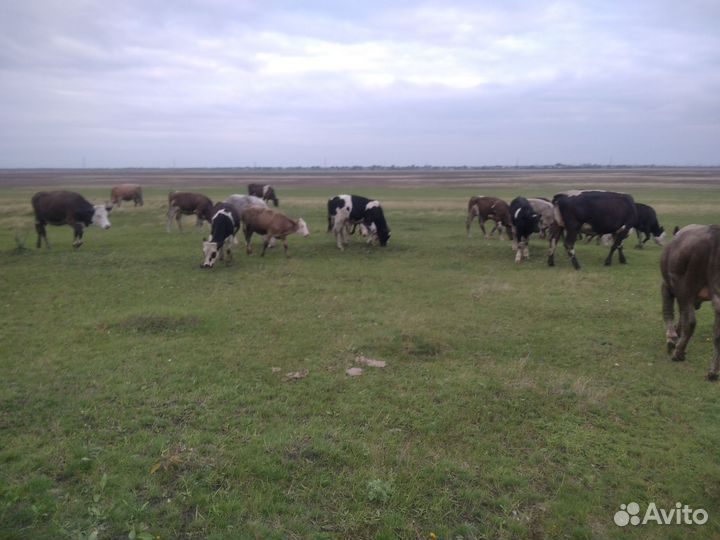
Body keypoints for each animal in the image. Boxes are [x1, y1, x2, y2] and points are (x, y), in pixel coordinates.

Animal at [661, 224, 720, 380]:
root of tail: (714, 234)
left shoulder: (667, 286)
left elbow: (668, 311)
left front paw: (672, 339)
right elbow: (681, 315)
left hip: (685, 287)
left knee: (691, 322)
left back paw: (678, 353)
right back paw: (713, 372)